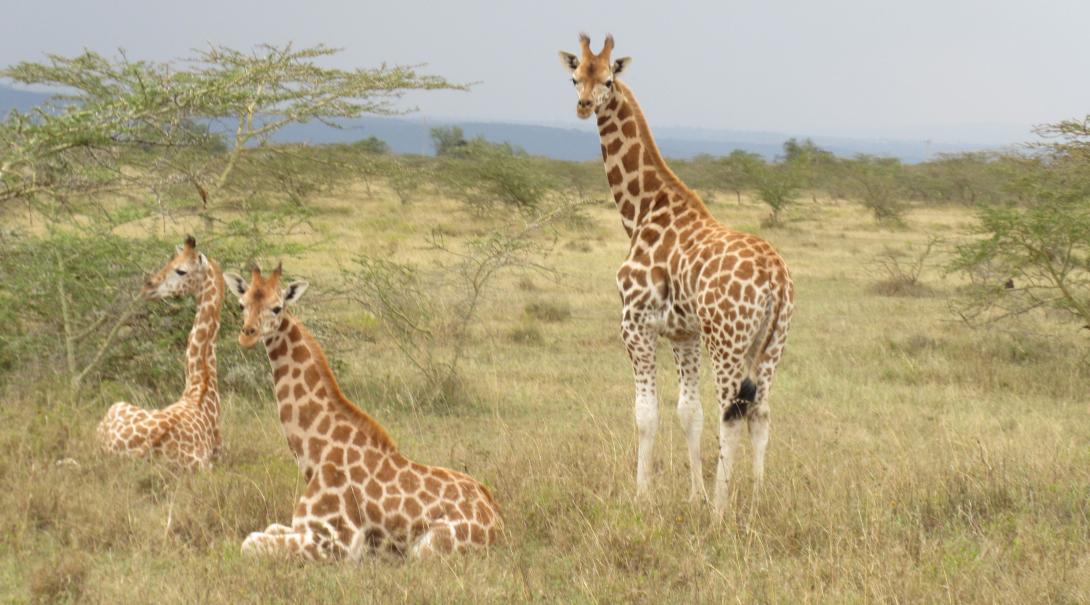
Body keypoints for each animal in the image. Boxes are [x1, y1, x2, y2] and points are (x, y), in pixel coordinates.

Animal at [226, 267, 505, 562]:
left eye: (277, 308)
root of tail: (498, 519)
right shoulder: (302, 526)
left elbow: (249, 543)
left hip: (427, 548)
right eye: (242, 304)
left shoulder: (339, 541)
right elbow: (263, 531)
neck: (315, 454)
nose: (247, 334)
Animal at [562, 35, 793, 514]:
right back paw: (756, 499)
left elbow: (645, 414)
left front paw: (642, 495)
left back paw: (721, 510)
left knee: (732, 413)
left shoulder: (635, 324)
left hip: (727, 340)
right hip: (772, 343)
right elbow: (689, 412)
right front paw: (692, 494)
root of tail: (777, 279)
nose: (584, 104)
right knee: (760, 411)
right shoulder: (683, 333)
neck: (642, 209)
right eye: (575, 77)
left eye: (608, 79)